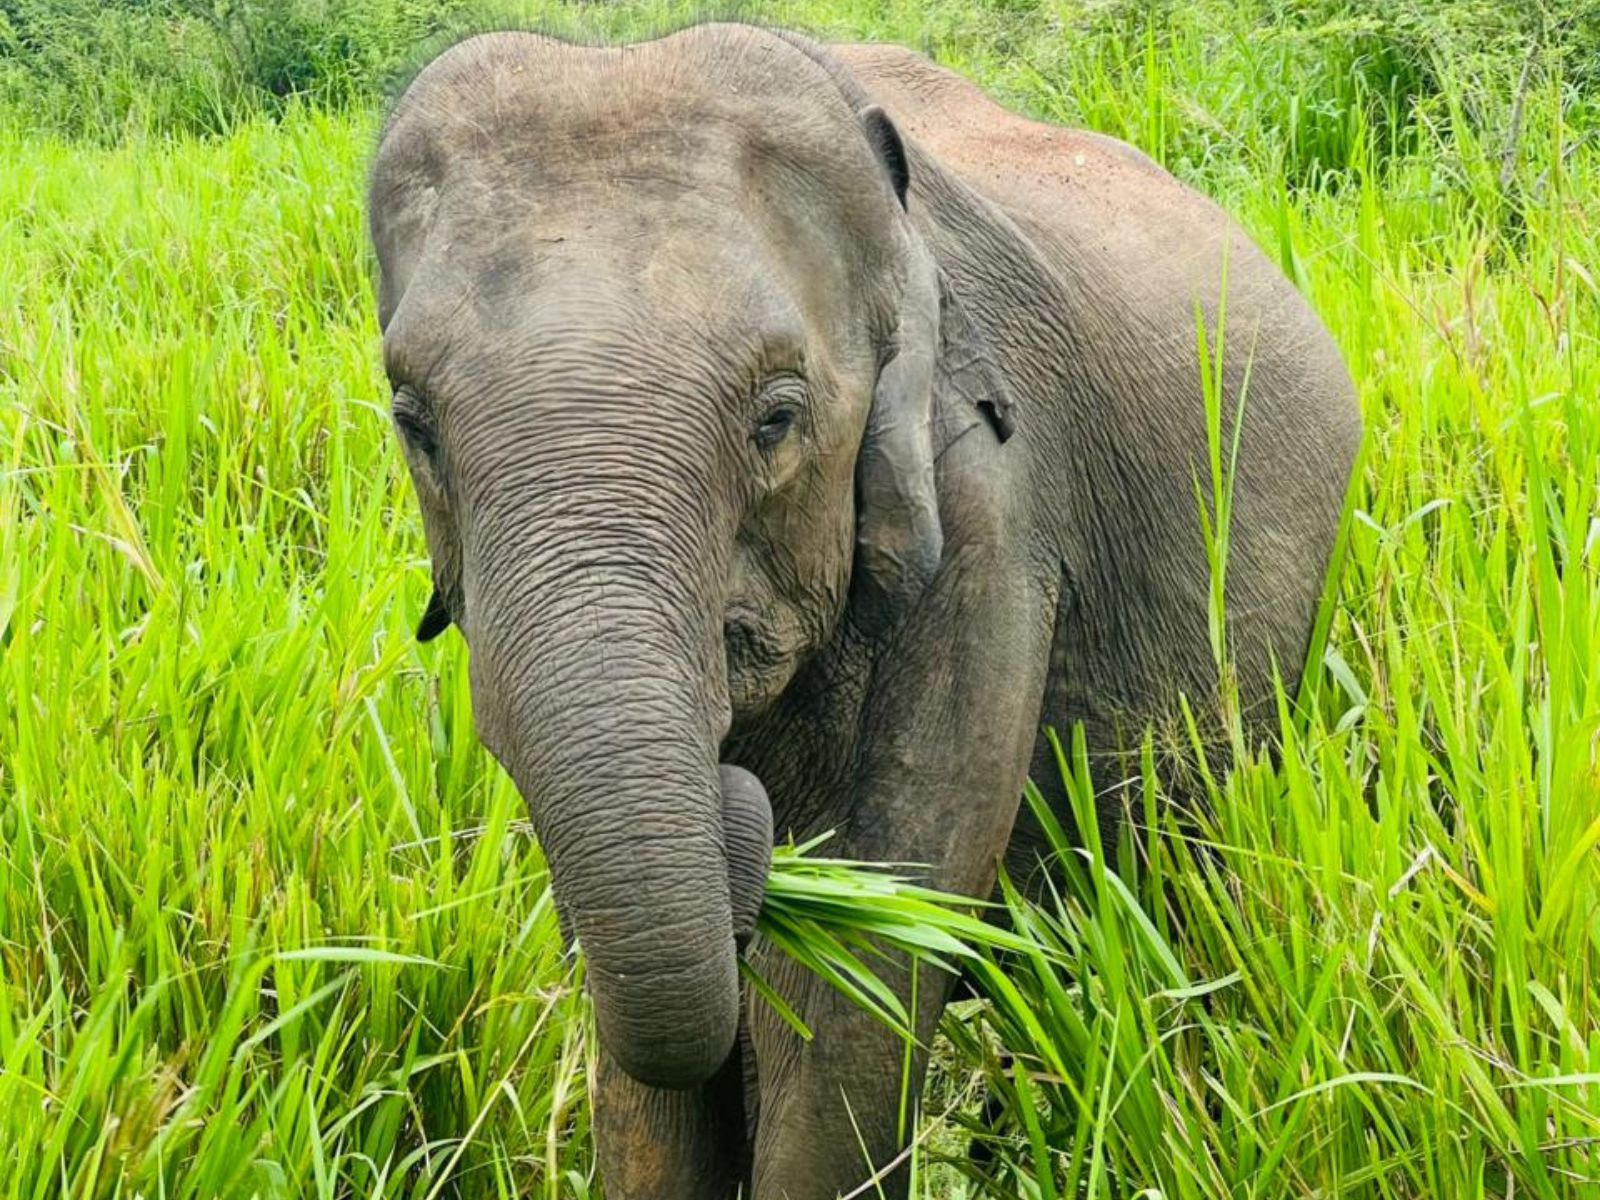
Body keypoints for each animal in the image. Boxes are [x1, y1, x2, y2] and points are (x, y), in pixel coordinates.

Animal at [367, 22, 1360, 1200]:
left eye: (777, 418)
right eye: (413, 421)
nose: (739, 804)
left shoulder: (989, 517)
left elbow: (856, 989)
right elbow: (656, 1086)